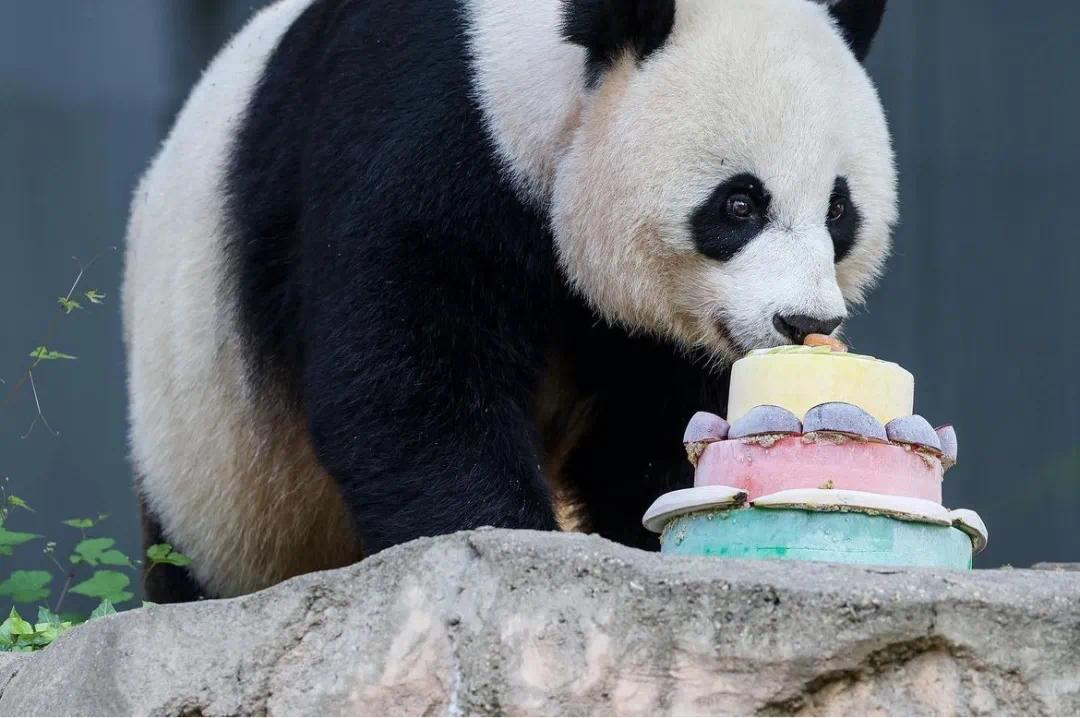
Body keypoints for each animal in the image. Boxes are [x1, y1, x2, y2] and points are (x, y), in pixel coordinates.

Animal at [123, 0, 896, 601]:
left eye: (838, 209)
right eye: (739, 204)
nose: (804, 322)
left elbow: (647, 431)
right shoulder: (422, 129)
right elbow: (407, 374)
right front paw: (500, 542)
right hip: (207, 455)